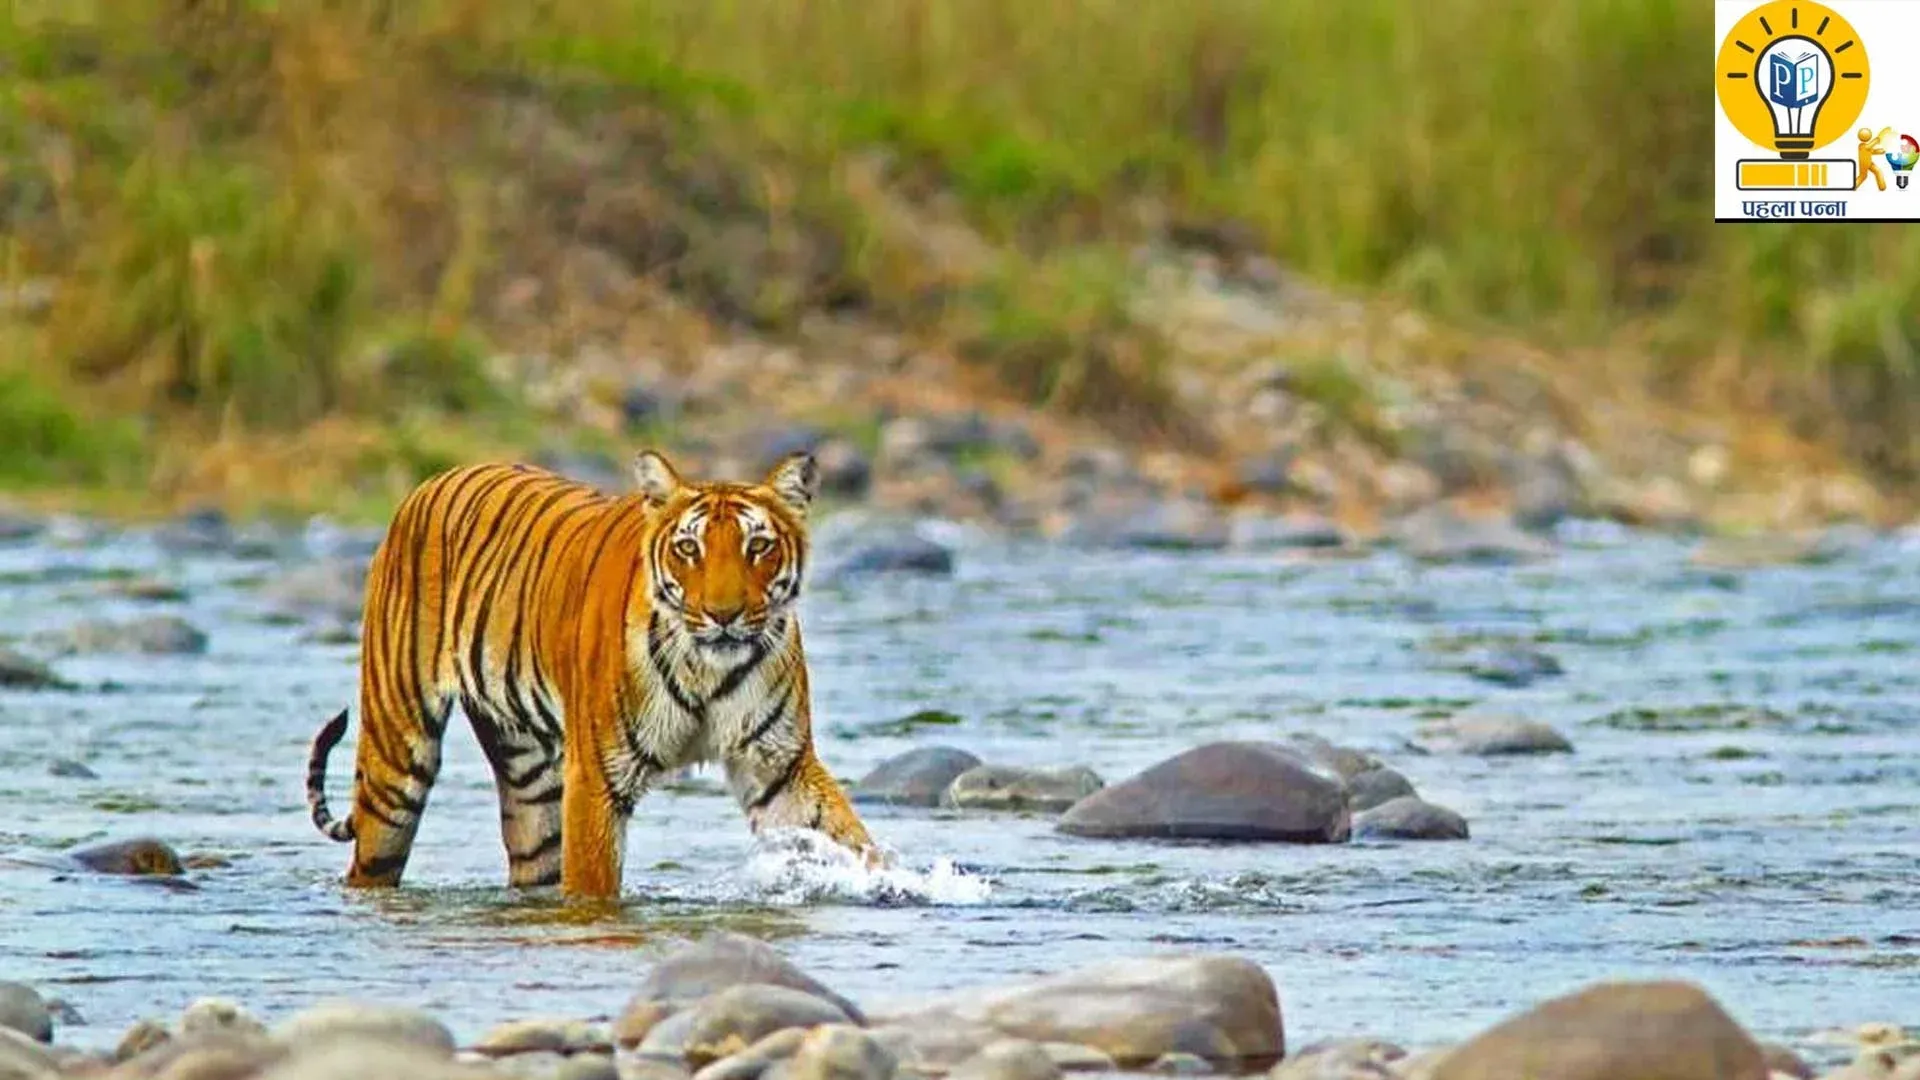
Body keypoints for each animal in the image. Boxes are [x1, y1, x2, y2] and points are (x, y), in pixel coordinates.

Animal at [303, 449, 879, 895]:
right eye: (688, 548)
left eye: (757, 546)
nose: (723, 615)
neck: (707, 670)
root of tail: (430, 482)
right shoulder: (597, 778)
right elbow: (593, 887)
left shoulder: (779, 764)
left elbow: (848, 838)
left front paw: (890, 885)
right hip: (396, 760)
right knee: (371, 857)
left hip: (530, 783)